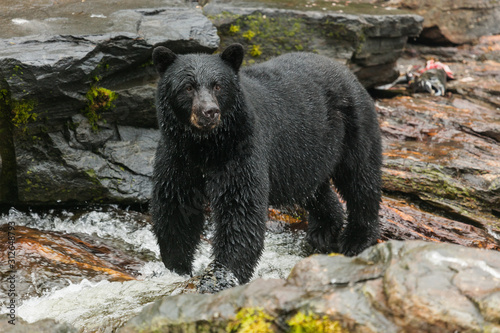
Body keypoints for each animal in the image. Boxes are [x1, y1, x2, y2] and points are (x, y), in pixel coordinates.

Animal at [150, 43, 380, 282]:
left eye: (218, 86)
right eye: (188, 87)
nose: (209, 112)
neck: (205, 145)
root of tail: (346, 71)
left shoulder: (242, 147)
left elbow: (240, 209)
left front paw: (222, 276)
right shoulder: (177, 155)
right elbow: (176, 204)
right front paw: (176, 268)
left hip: (353, 125)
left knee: (360, 179)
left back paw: (357, 239)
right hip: (305, 158)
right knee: (314, 190)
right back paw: (324, 230)